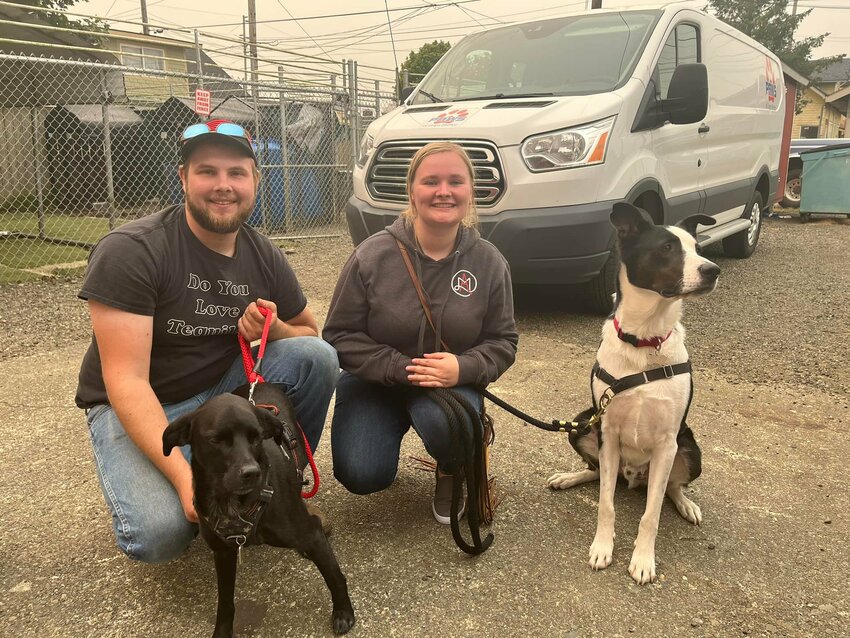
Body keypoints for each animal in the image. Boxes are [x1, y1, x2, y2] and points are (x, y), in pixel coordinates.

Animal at [162, 384, 354, 638]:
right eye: (215, 440)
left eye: (256, 438)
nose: (251, 472)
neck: (234, 504)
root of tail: (262, 383)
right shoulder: (223, 553)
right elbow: (225, 603)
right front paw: (222, 631)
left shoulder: (311, 534)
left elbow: (334, 575)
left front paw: (343, 612)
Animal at [548, 204, 720, 584]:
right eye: (667, 248)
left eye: (697, 247)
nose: (713, 270)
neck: (644, 340)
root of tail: (632, 477)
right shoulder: (608, 431)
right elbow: (606, 504)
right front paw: (602, 547)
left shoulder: (668, 442)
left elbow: (651, 514)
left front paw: (643, 559)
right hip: (583, 424)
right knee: (600, 474)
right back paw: (570, 477)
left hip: (690, 448)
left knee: (671, 487)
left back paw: (686, 504)